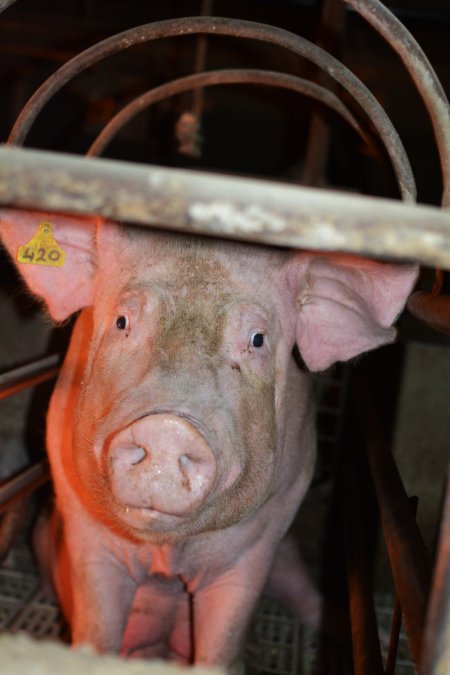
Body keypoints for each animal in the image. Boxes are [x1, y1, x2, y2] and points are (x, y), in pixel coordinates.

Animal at [0, 210, 416, 672]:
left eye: (257, 339)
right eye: (122, 321)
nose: (167, 428)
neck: (167, 551)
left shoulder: (265, 532)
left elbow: (222, 643)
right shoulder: (83, 522)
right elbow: (96, 628)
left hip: (289, 558)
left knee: (310, 600)